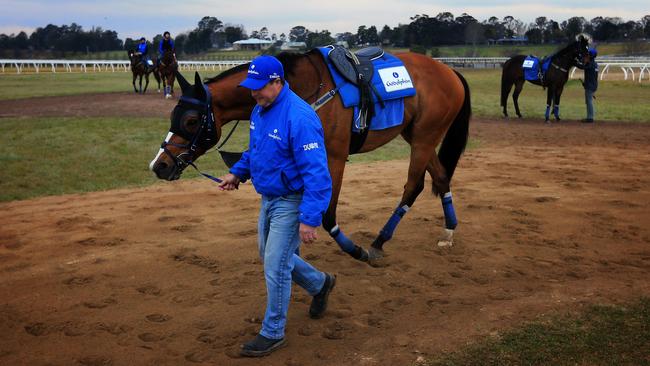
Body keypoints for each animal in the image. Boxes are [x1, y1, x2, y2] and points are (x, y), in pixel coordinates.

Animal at [148, 48, 470, 264]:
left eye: (191, 120)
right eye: (173, 114)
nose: (159, 165)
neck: (304, 87)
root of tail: (450, 72)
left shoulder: (333, 158)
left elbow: (326, 215)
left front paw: (354, 249)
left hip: (425, 137)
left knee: (413, 186)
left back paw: (380, 241)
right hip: (417, 136)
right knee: (441, 177)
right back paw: (449, 231)